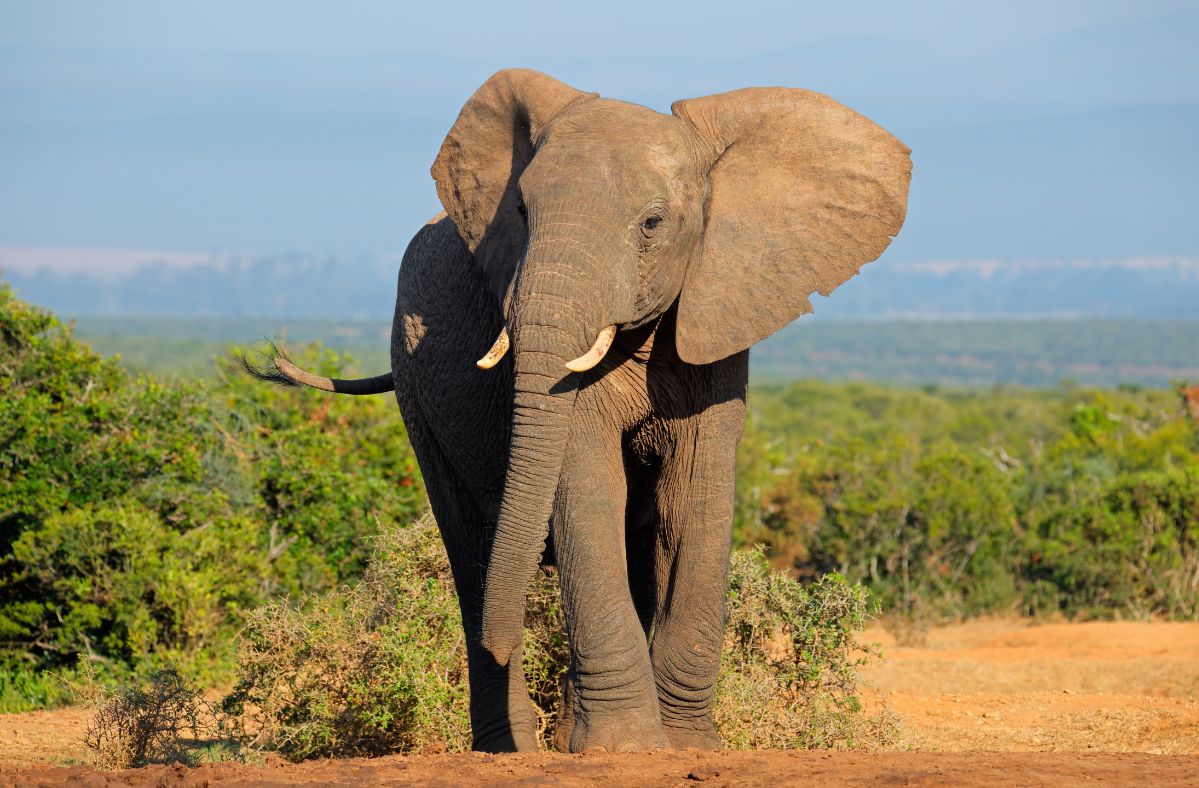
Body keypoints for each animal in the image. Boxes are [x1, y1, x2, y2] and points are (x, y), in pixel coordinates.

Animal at [248, 70, 911, 753]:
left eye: (652, 223)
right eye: (520, 212)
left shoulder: (717, 315)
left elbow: (693, 496)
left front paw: (685, 748)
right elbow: (587, 486)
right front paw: (627, 749)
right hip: (413, 382)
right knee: (469, 546)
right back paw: (508, 746)